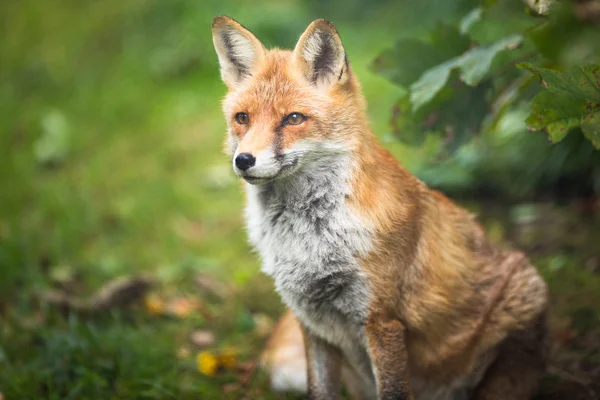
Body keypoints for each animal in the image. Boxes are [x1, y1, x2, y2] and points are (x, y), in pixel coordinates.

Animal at [211, 16, 548, 400]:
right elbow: (320, 390)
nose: (243, 160)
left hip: (524, 299)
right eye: (242, 118)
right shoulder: (311, 321)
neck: (311, 240)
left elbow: (394, 389)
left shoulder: (380, 320)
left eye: (294, 118)